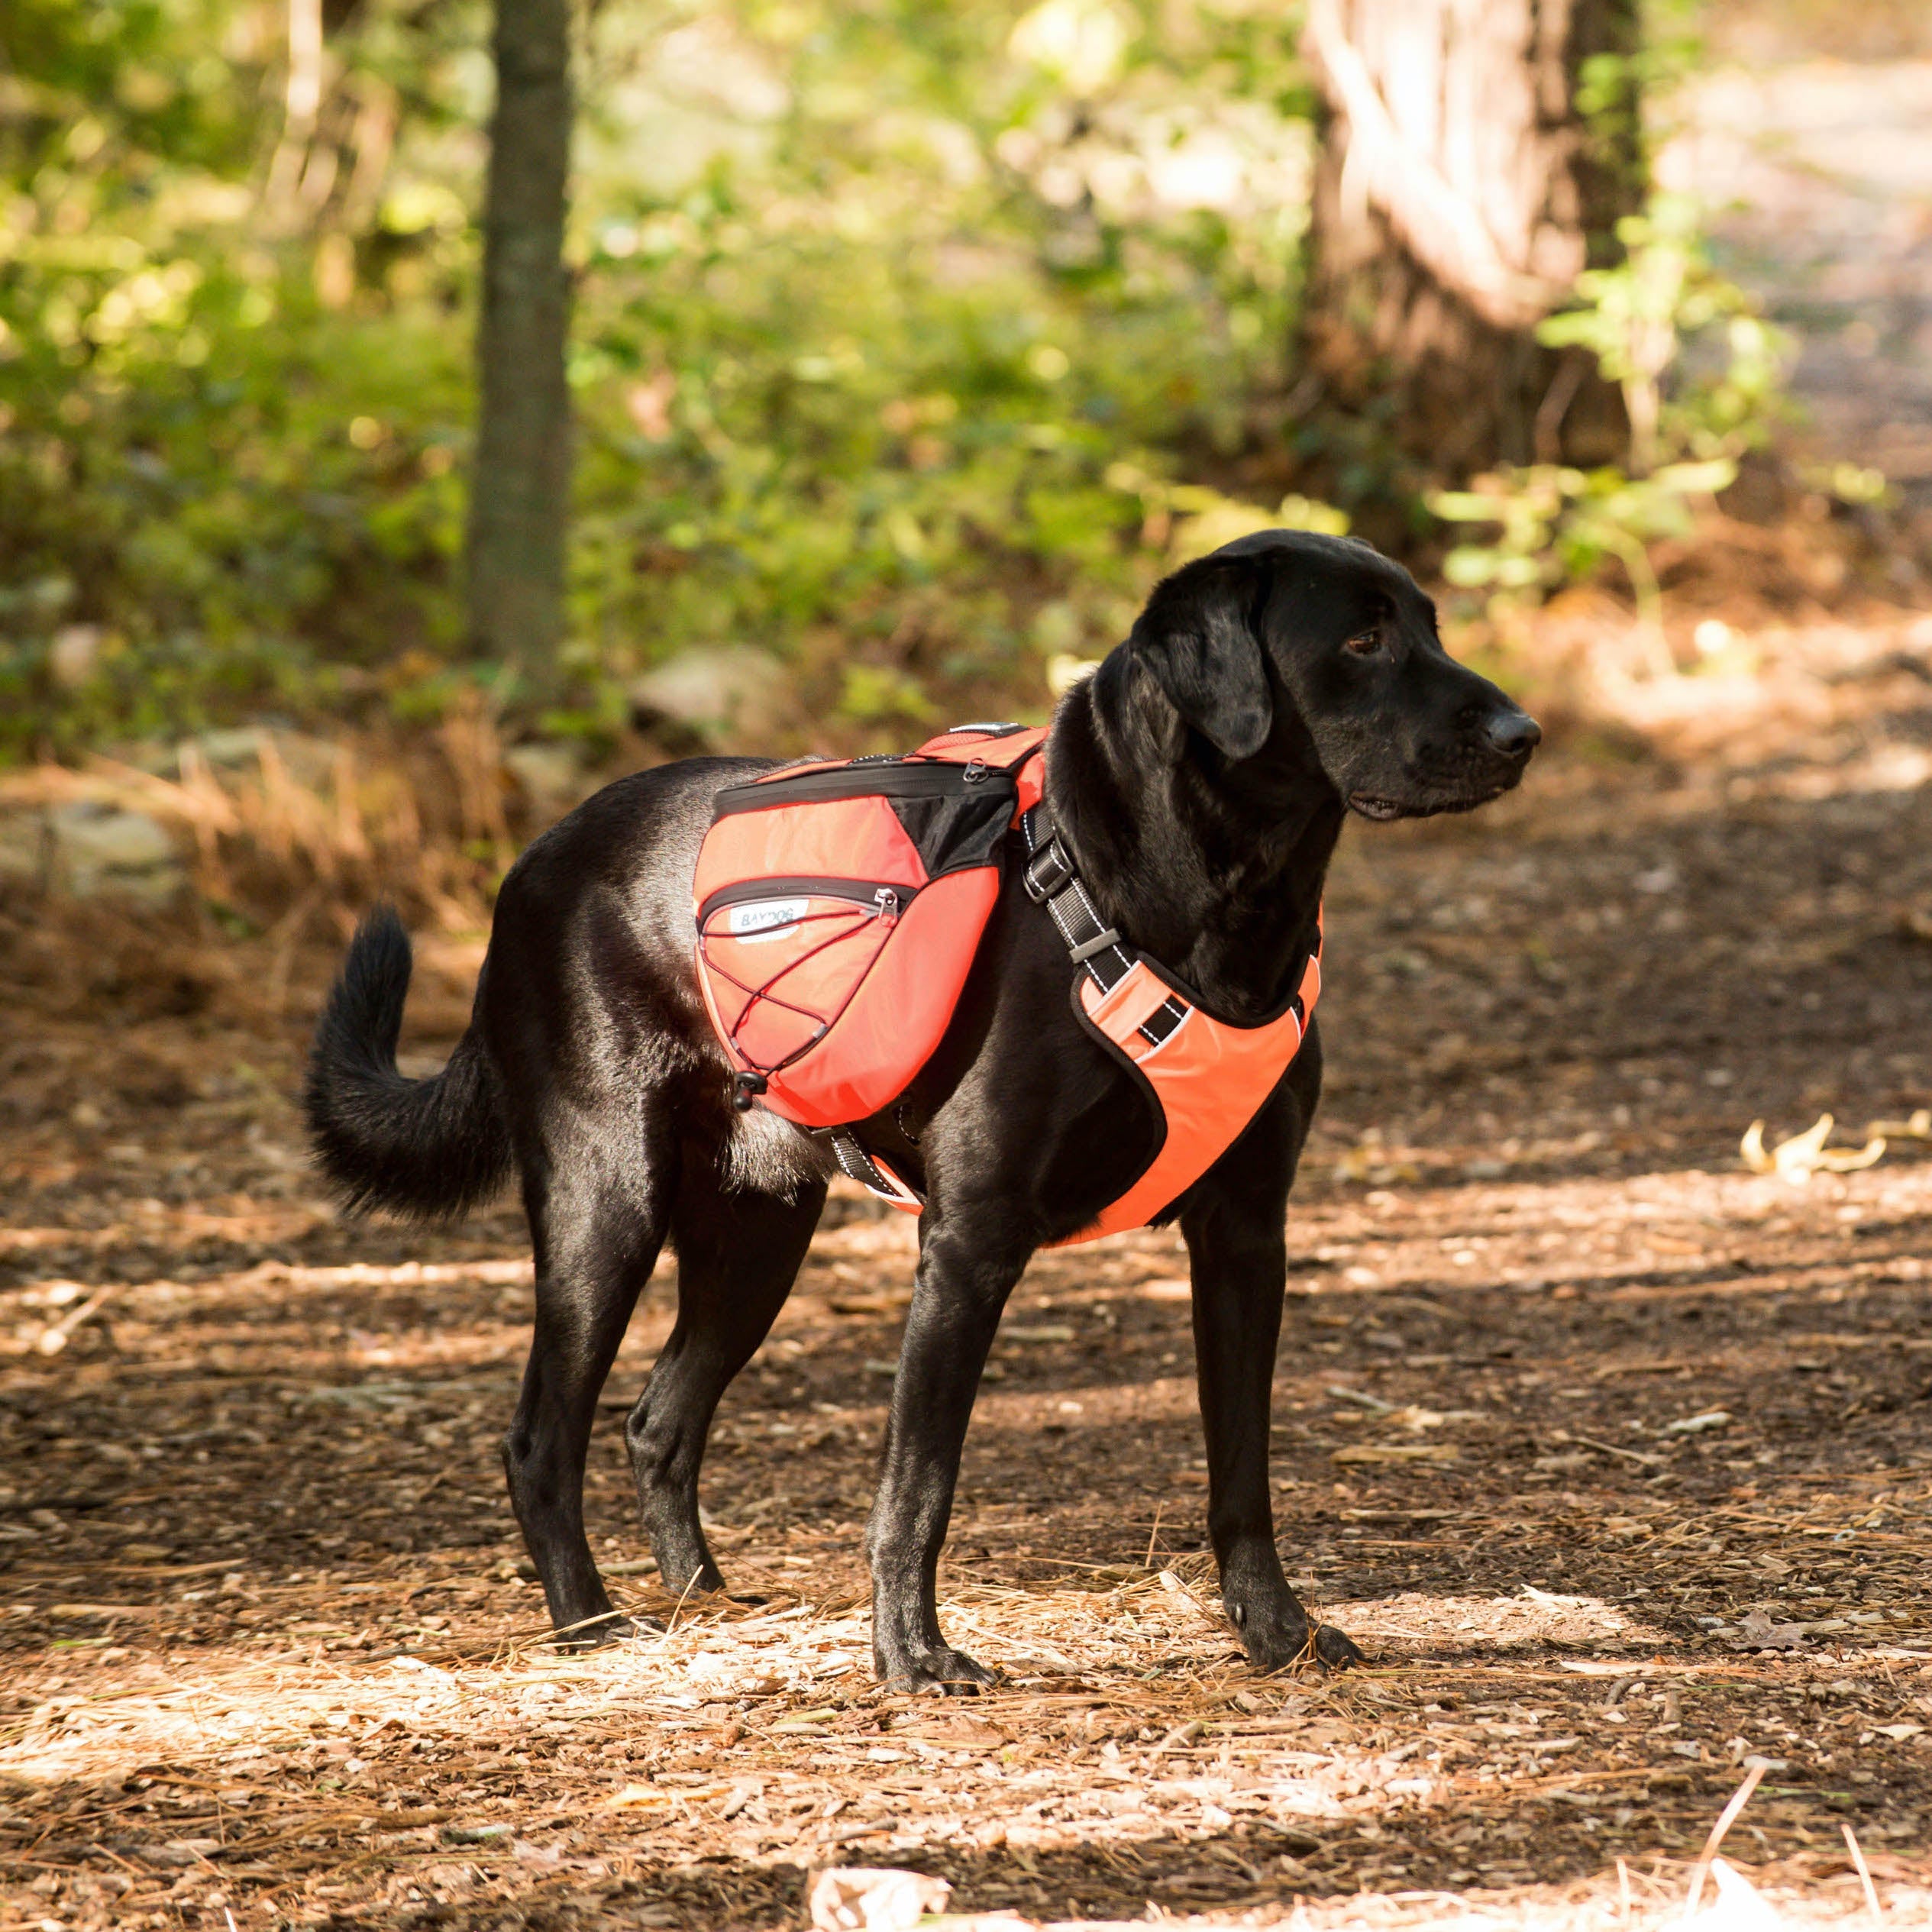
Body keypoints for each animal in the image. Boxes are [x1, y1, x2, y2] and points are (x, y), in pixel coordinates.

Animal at [305, 529, 1537, 1692]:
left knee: (659, 1420)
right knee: (540, 1436)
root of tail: (524, 867)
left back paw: (707, 1600)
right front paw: (910, 1654)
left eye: (1428, 623)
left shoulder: (1245, 1231)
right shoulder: (969, 1242)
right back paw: (590, 1624)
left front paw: (1275, 1633)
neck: (1198, 897)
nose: (1524, 731)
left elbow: (1243, 1466)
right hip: (605, 1202)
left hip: (756, 1229)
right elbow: (919, 1481)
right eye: (1363, 640)